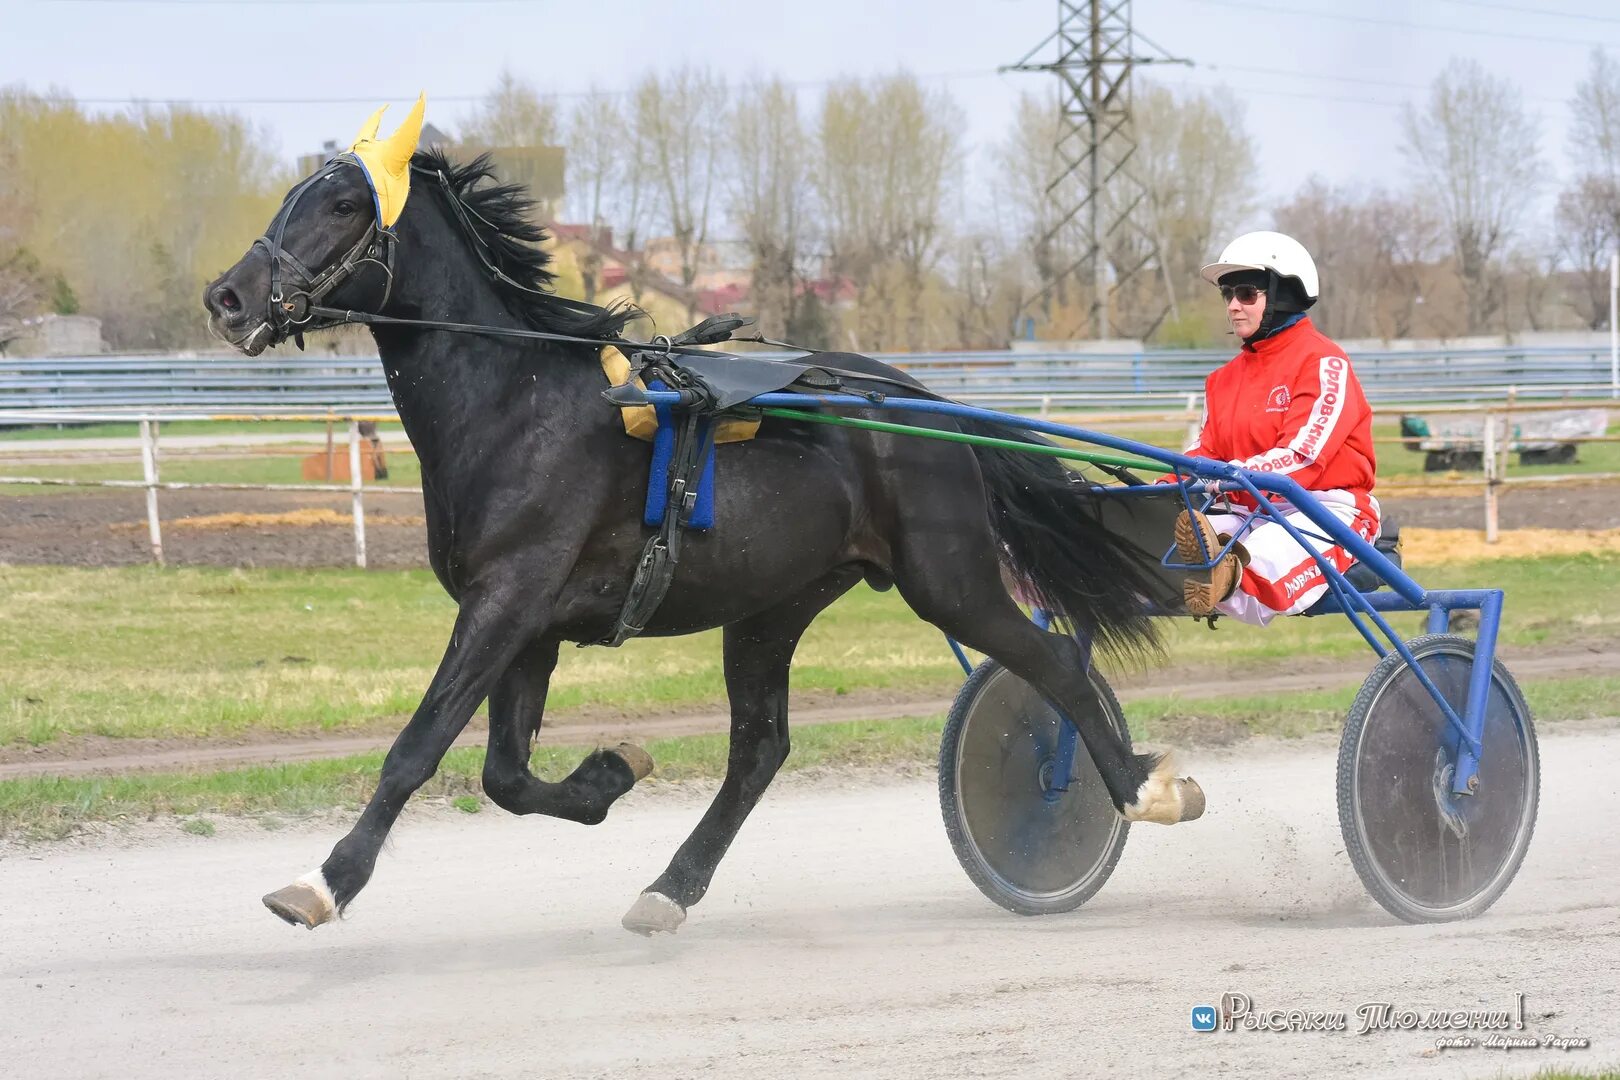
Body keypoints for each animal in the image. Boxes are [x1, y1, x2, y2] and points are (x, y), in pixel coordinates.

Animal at [205, 145, 1205, 939]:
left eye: (343, 205)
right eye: (291, 196)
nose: (227, 296)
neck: (513, 402)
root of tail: (918, 402)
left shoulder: (507, 599)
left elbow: (418, 748)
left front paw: (322, 882)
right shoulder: (527, 623)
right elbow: (505, 775)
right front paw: (612, 772)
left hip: (946, 577)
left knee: (1057, 665)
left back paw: (1141, 787)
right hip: (772, 605)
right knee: (759, 750)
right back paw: (669, 889)